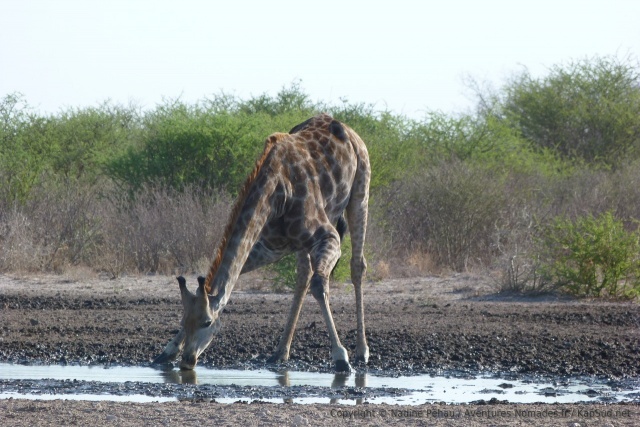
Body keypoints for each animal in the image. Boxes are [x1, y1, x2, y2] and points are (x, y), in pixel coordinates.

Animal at [153, 114, 370, 372]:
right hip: (305, 239)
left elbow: (319, 285)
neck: (276, 192)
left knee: (356, 265)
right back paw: (281, 351)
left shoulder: (329, 236)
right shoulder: (270, 246)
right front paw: (167, 351)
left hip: (360, 191)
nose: (187, 360)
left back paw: (362, 351)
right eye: (183, 319)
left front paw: (340, 356)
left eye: (207, 322)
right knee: (303, 275)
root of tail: (348, 130)